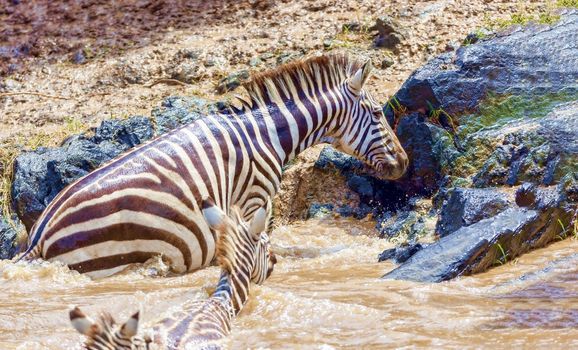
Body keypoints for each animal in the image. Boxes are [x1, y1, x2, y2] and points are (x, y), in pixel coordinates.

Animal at [18, 52, 404, 278]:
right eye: (377, 113)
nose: (404, 162)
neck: (267, 134)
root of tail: (39, 237)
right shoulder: (253, 199)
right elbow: (264, 242)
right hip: (115, 258)